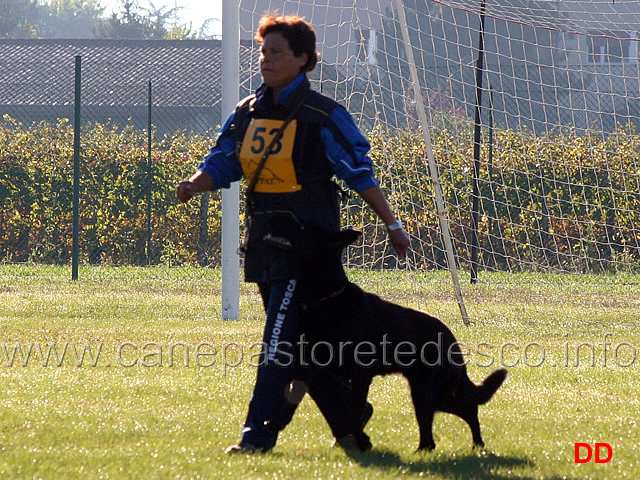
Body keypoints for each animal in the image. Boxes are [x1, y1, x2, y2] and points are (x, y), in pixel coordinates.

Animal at [296, 231, 510, 452]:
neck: (328, 298)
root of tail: (452, 342)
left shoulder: (361, 375)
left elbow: (354, 413)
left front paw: (362, 441)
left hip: (424, 392)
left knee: (457, 414)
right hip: (431, 394)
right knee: (459, 413)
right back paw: (468, 445)